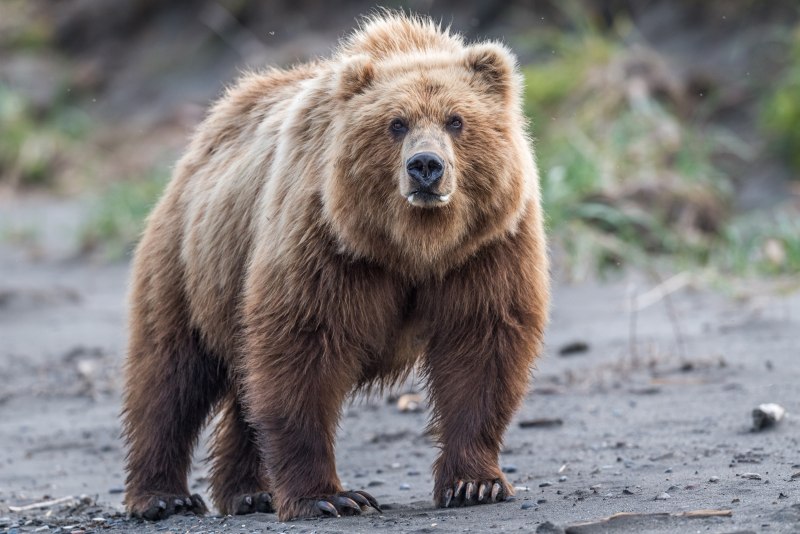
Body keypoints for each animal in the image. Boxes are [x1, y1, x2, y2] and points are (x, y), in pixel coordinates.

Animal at [121, 11, 549, 522]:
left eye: (456, 120)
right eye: (396, 123)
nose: (426, 166)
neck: (415, 245)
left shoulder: (486, 246)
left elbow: (482, 346)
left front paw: (474, 483)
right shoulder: (326, 242)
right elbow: (302, 349)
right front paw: (329, 496)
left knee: (242, 387)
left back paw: (249, 491)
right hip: (191, 262)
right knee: (170, 374)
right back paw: (163, 496)